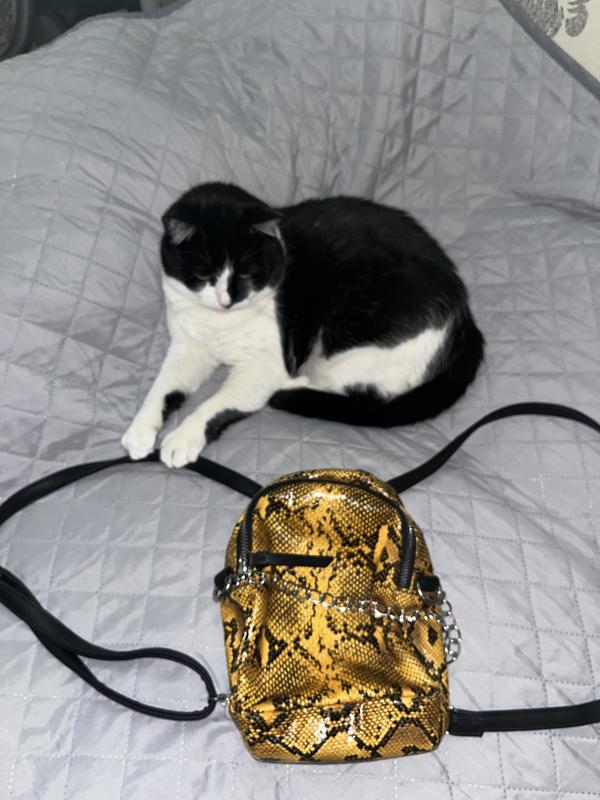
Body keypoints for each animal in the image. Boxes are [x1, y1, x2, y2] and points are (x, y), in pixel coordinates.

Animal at [122, 182, 484, 468]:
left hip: (352, 335)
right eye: (202, 276)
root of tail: (464, 315)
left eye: (246, 273)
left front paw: (182, 438)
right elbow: (164, 386)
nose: (227, 300)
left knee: (361, 390)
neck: (219, 324)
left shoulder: (264, 365)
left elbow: (216, 402)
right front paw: (139, 430)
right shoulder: (188, 347)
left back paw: (295, 387)